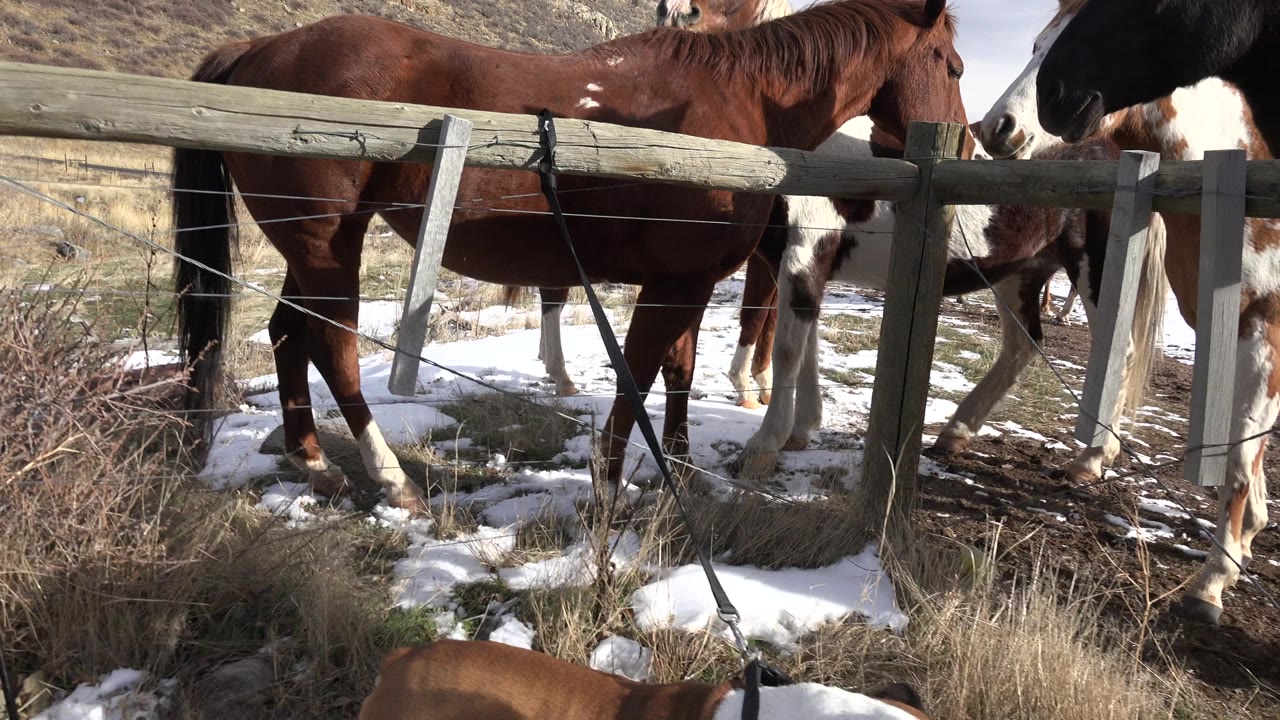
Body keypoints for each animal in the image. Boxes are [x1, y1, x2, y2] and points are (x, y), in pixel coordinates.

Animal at [172, 0, 971, 511]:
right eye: (957, 66)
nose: (967, 145)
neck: (733, 105)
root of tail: (261, 50)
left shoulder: (686, 281)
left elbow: (677, 374)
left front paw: (681, 469)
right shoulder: (675, 284)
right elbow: (639, 376)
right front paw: (611, 485)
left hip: (309, 248)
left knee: (287, 333)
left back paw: (312, 460)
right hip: (327, 246)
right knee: (332, 346)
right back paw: (391, 478)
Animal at [978, 0, 1276, 625]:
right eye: (1035, 44)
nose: (998, 128)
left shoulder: (1265, 330)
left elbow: (1241, 454)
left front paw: (1214, 580)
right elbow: (1246, 448)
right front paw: (1243, 542)